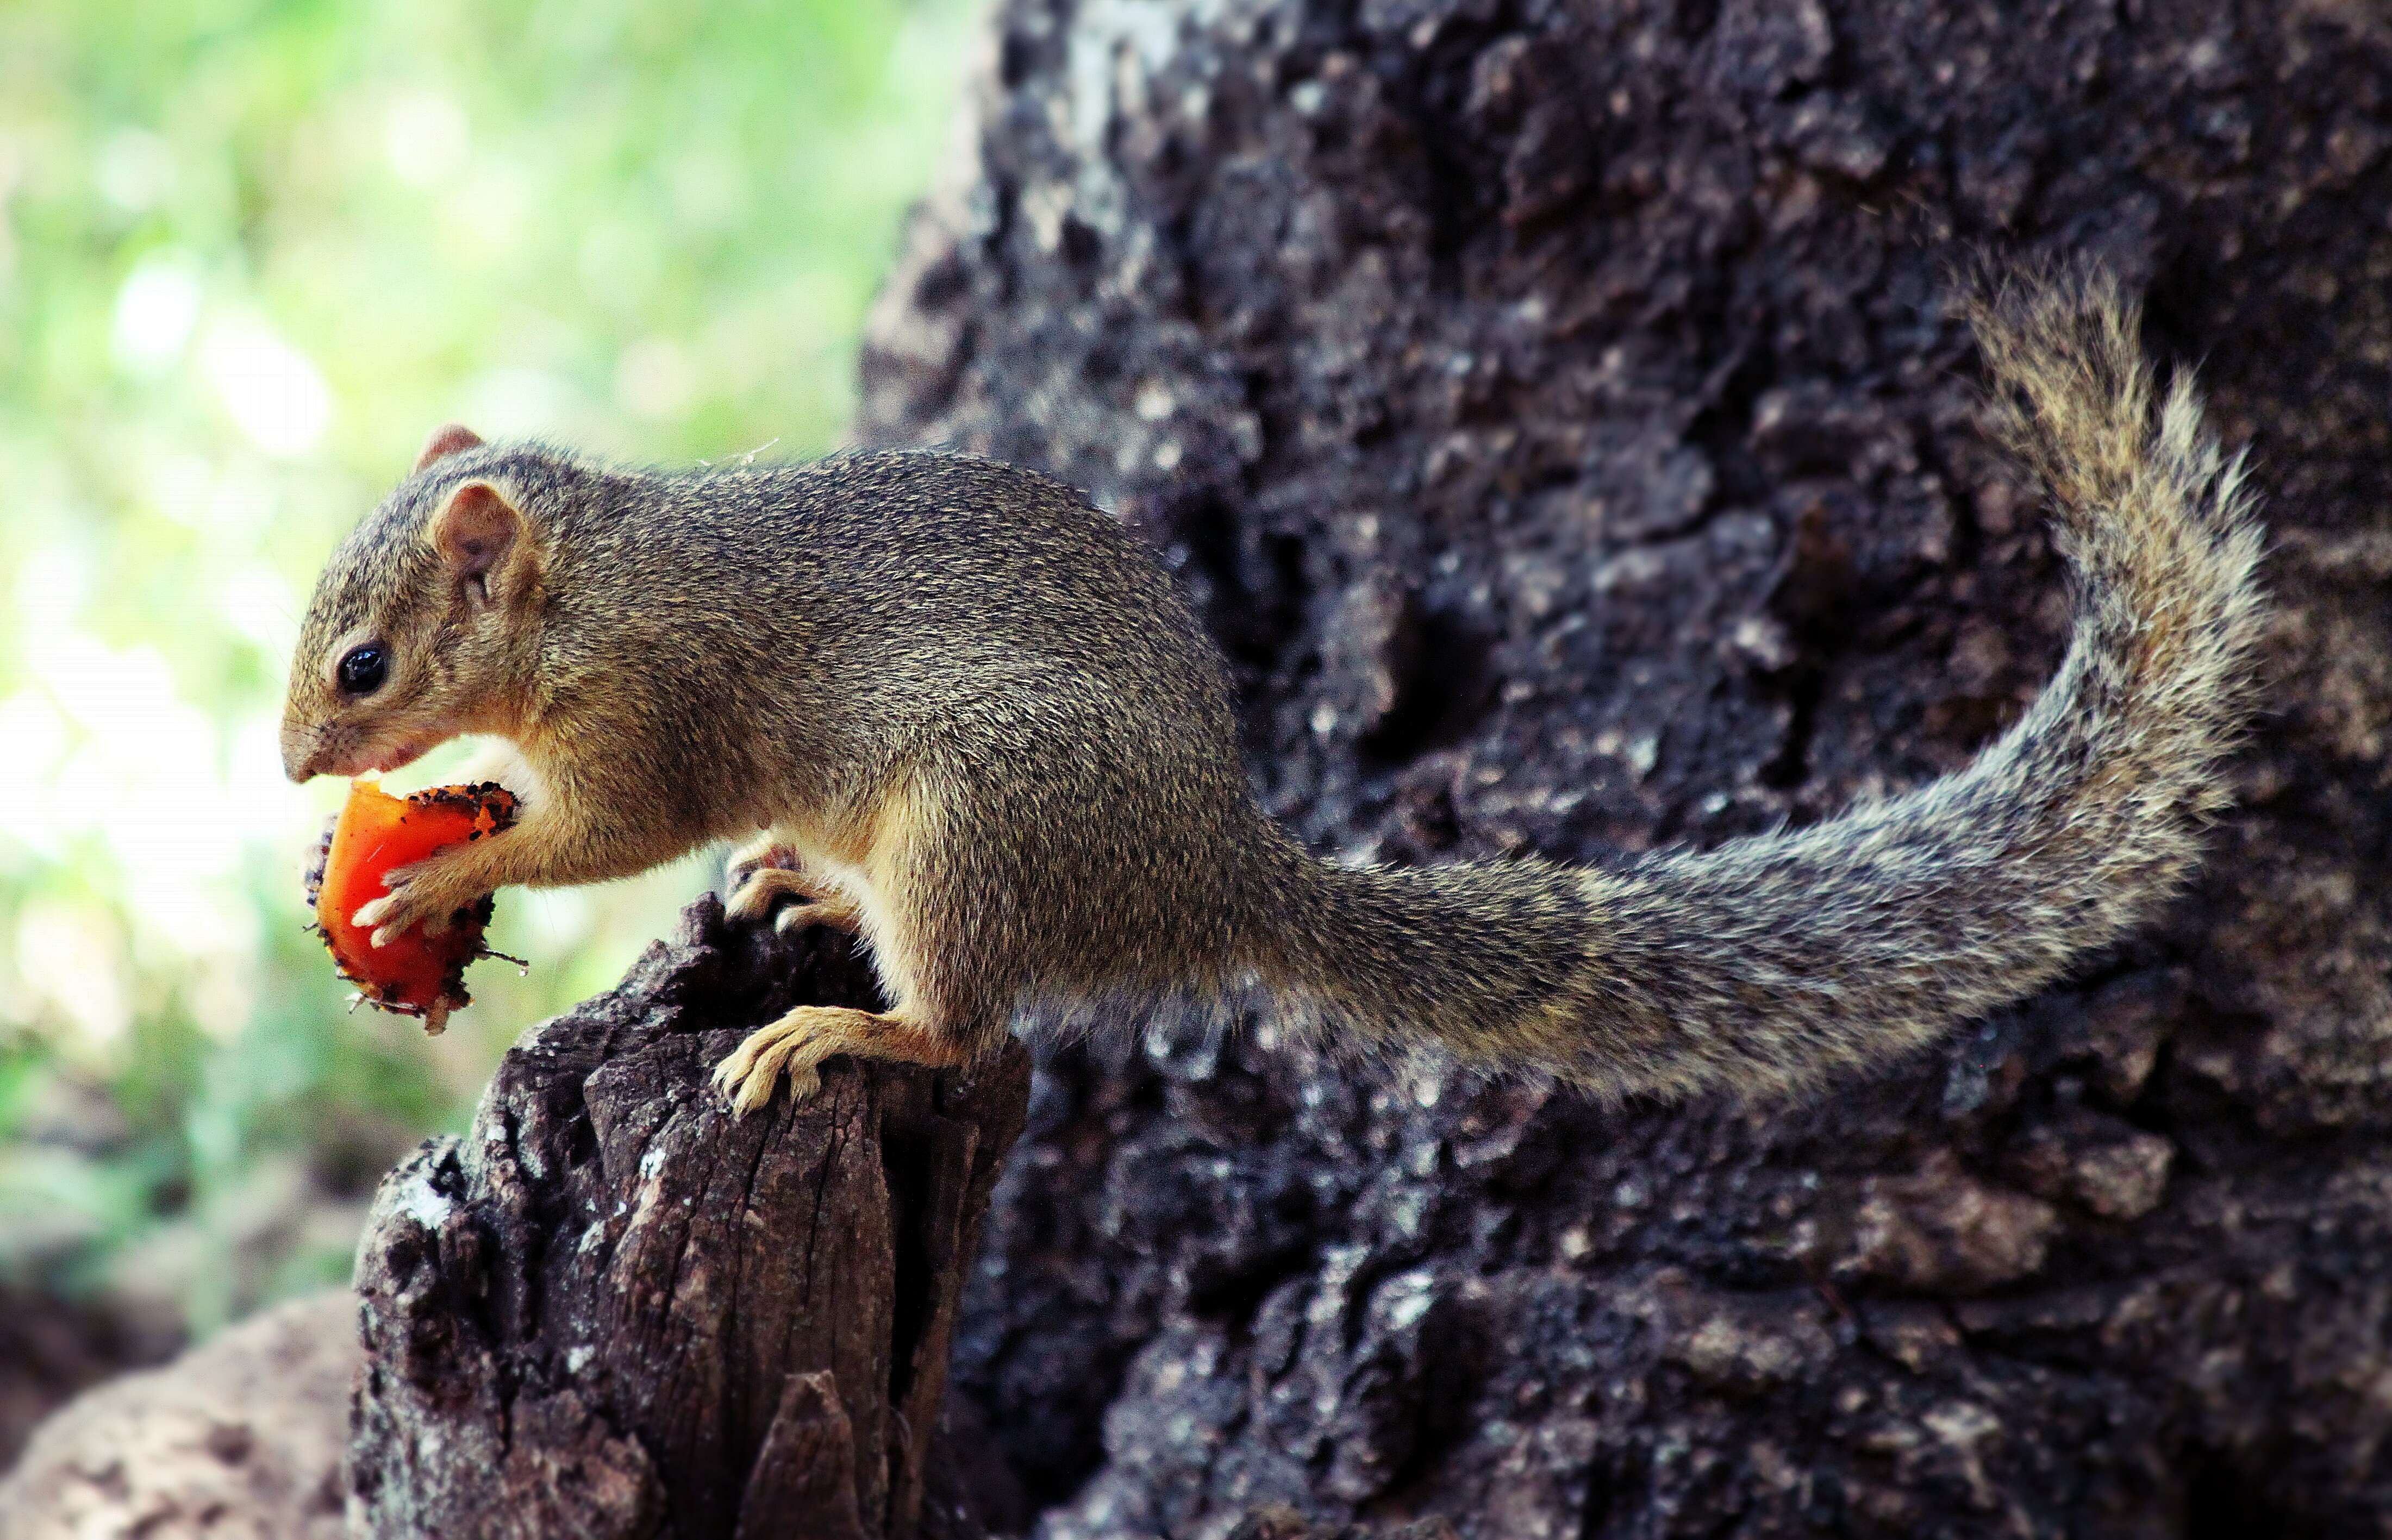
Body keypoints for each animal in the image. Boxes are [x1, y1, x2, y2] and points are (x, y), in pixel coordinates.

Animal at [279, 270, 2258, 1119]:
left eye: (365, 661)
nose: (298, 763)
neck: (590, 581)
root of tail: (1215, 871)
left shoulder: (652, 712)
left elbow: (605, 834)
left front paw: (436, 869)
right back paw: (803, 890)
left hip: (980, 823)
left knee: (971, 1032)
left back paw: (842, 1027)